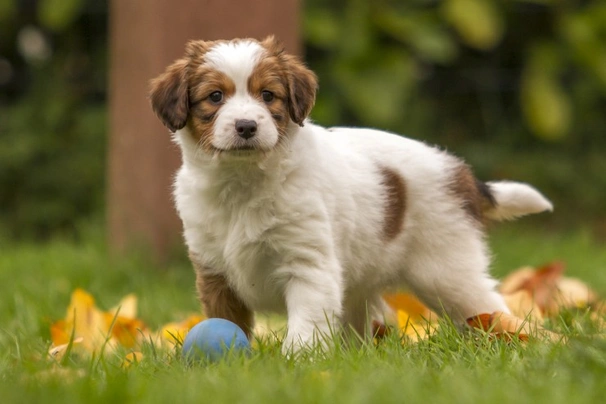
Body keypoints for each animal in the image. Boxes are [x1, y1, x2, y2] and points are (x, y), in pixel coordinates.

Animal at [148, 36, 556, 354]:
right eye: (215, 97)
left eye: (268, 95)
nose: (246, 126)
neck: (243, 183)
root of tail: (460, 171)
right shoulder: (214, 272)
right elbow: (227, 321)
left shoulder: (308, 267)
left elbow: (306, 326)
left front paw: (297, 362)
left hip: (448, 272)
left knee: (488, 306)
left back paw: (520, 341)